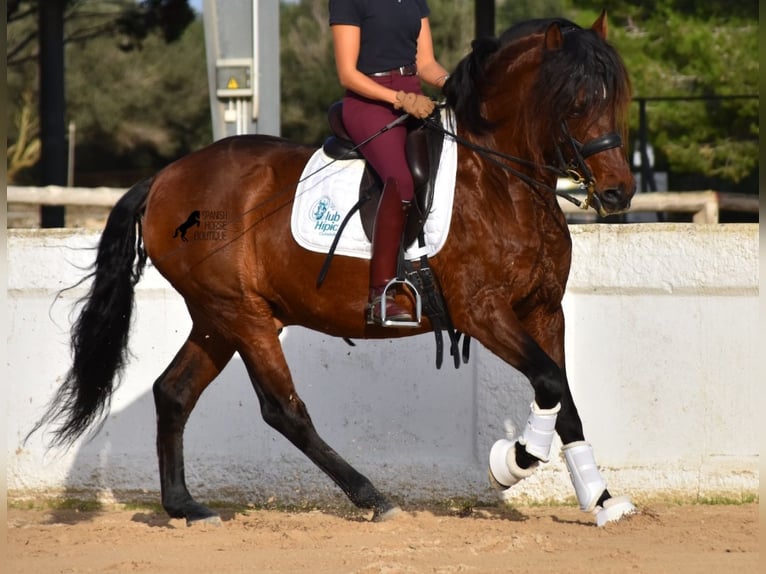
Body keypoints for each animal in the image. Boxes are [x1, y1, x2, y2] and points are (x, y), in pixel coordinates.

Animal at [33, 13, 640, 528]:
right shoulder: (483, 311)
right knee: (283, 410)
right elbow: (548, 382)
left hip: (219, 319)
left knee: (174, 392)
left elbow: (563, 396)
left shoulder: (543, 308)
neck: (499, 180)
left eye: (621, 98)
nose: (617, 193)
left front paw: (601, 499)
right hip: (242, 315)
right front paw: (512, 461)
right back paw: (372, 498)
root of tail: (164, 178)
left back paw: (185, 506)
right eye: (576, 101)